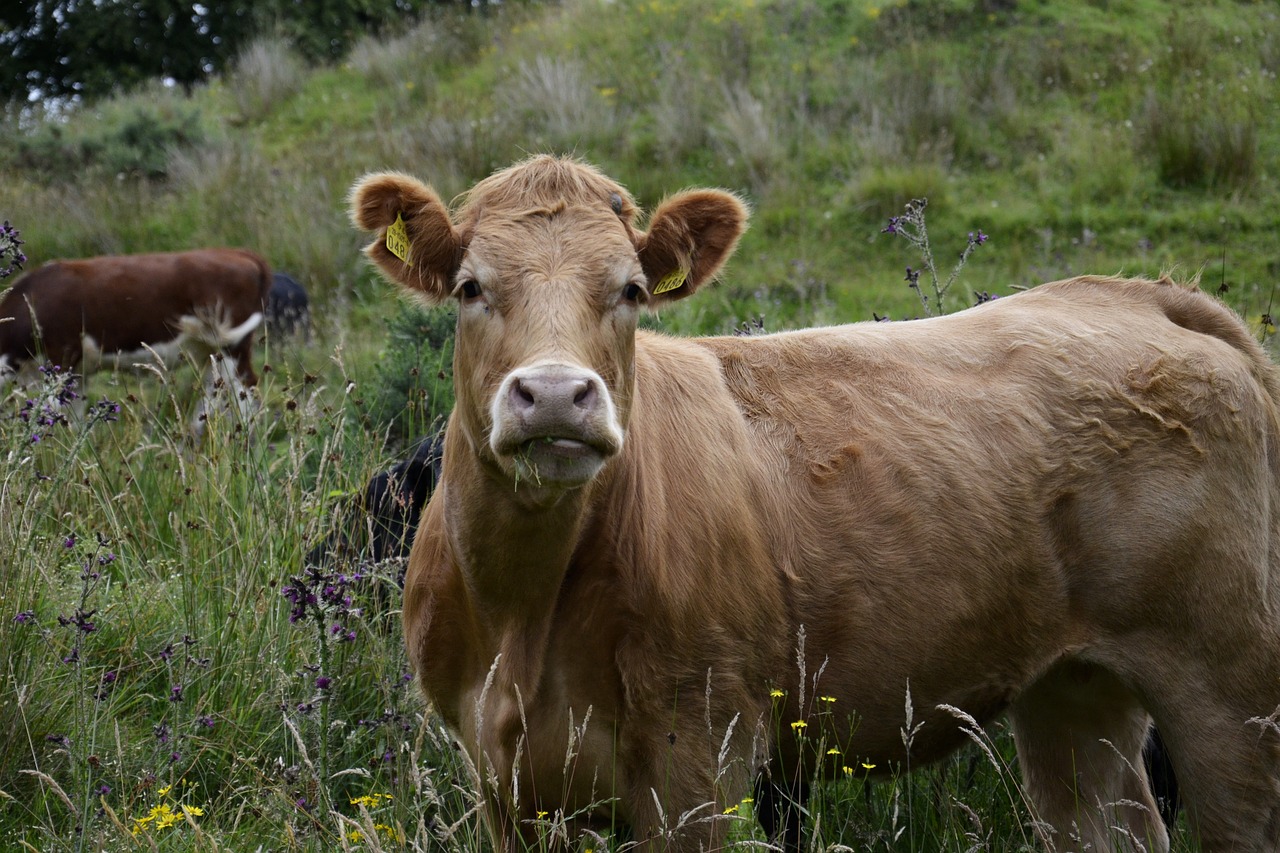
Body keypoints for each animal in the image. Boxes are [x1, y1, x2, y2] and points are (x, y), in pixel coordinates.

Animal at [0, 245, 270, 432]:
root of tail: (239, 252)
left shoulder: (62, 355)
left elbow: (51, 410)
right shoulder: (79, 371)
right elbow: (72, 416)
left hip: (232, 345)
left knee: (244, 391)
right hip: (210, 351)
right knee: (213, 392)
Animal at [350, 156, 1280, 845]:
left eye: (631, 291)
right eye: (470, 287)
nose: (552, 395)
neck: (524, 610)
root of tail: (1140, 293)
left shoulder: (699, 766)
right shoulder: (502, 786)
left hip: (1231, 683)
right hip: (1073, 689)